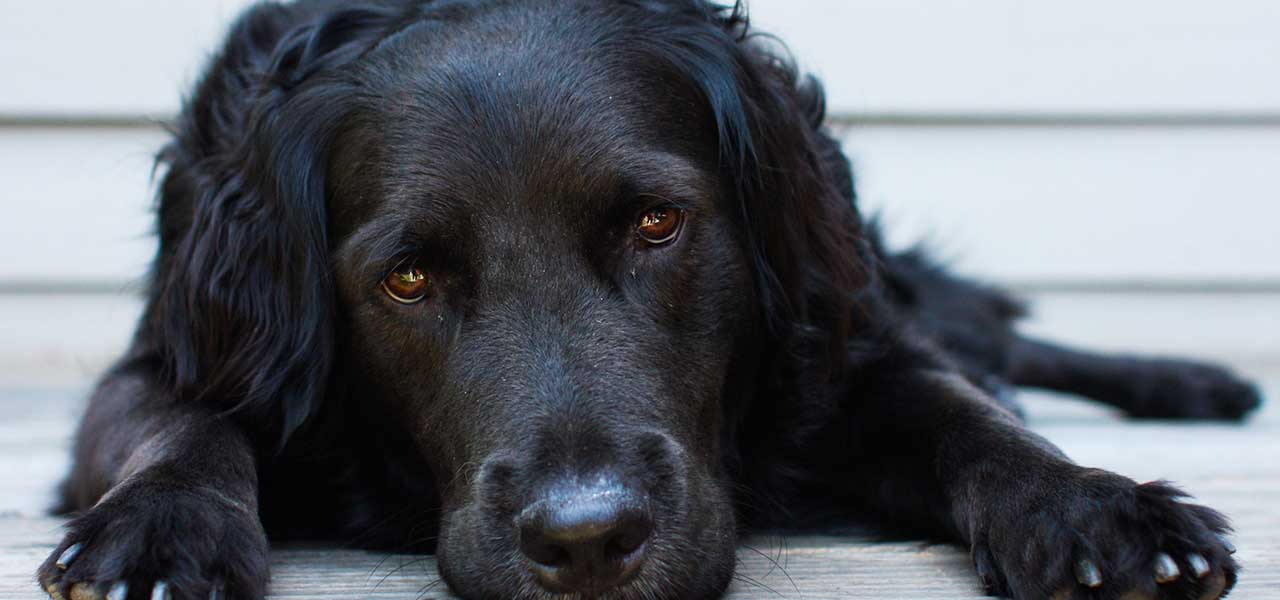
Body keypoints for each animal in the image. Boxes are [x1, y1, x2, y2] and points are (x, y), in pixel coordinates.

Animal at [40, 1, 1259, 598]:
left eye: (656, 224)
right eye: (408, 277)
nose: (588, 543)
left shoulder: (844, 349)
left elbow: (967, 413)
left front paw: (1090, 508)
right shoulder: (172, 354)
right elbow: (178, 427)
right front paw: (158, 530)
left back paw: (1193, 381)